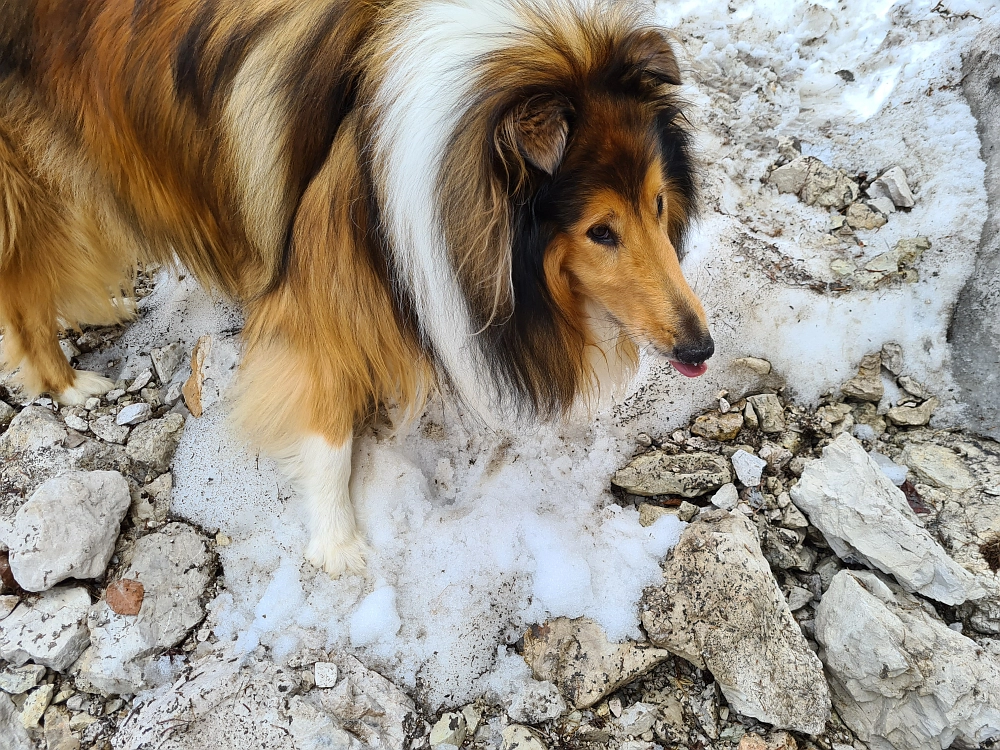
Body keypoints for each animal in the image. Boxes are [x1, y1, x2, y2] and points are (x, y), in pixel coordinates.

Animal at [3, 0, 716, 576]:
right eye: (600, 230)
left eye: (658, 203)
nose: (701, 349)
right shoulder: (319, 294)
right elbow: (327, 430)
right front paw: (338, 544)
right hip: (31, 185)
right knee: (25, 287)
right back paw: (67, 383)